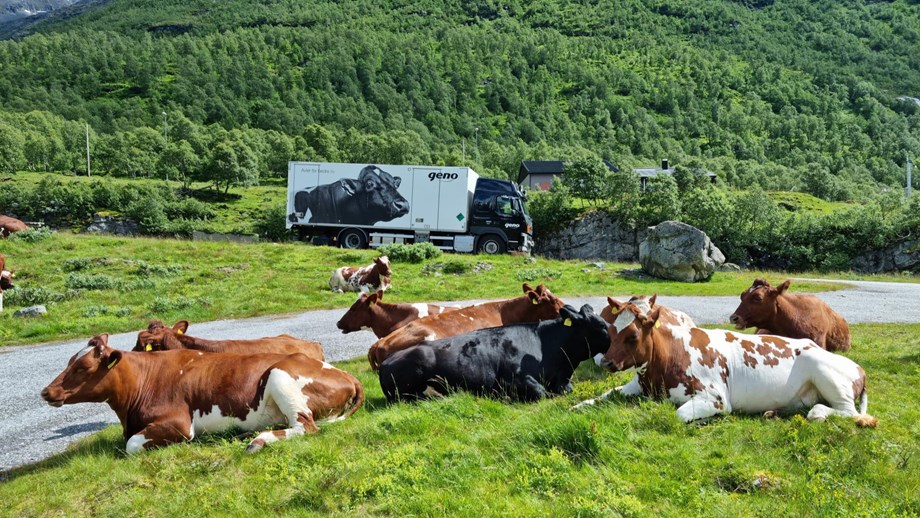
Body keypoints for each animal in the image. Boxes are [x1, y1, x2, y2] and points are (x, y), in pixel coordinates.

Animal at [43, 336, 364, 452]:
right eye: (69, 360)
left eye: (83, 366)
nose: (46, 391)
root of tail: (346, 373)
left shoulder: (179, 424)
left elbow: (132, 445)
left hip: (280, 375)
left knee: (306, 426)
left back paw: (257, 441)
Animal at [592, 302, 880, 428]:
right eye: (610, 330)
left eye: (632, 336)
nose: (605, 361)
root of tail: (860, 368)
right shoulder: (636, 385)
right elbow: (599, 397)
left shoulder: (716, 398)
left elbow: (678, 415)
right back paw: (773, 413)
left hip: (823, 370)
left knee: (848, 412)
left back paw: (818, 413)